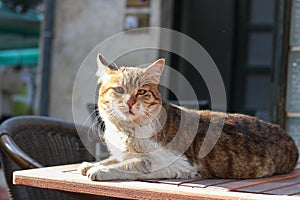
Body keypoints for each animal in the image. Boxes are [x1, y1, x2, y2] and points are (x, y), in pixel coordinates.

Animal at [78, 54, 298, 180]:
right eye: (119, 90)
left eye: (141, 92)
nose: (130, 102)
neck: (125, 130)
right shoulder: (122, 153)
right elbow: (113, 158)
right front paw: (93, 164)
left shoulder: (175, 164)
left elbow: (133, 163)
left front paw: (100, 171)